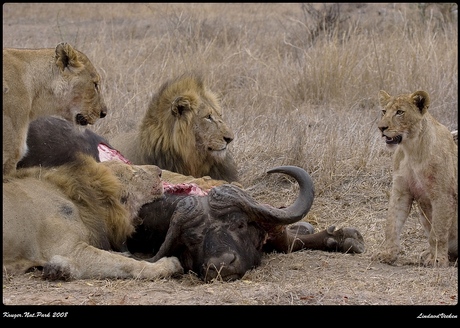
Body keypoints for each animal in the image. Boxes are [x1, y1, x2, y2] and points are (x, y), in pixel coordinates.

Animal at [4, 154, 183, 280]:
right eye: (133, 172)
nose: (160, 172)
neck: (80, 199)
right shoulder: (69, 250)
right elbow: (124, 263)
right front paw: (168, 265)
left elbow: (116, 256)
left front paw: (60, 269)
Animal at [374, 89, 456, 266]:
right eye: (384, 111)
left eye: (399, 112)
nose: (381, 128)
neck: (411, 149)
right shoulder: (401, 191)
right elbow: (391, 224)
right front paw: (387, 254)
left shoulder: (443, 195)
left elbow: (438, 232)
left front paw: (436, 259)